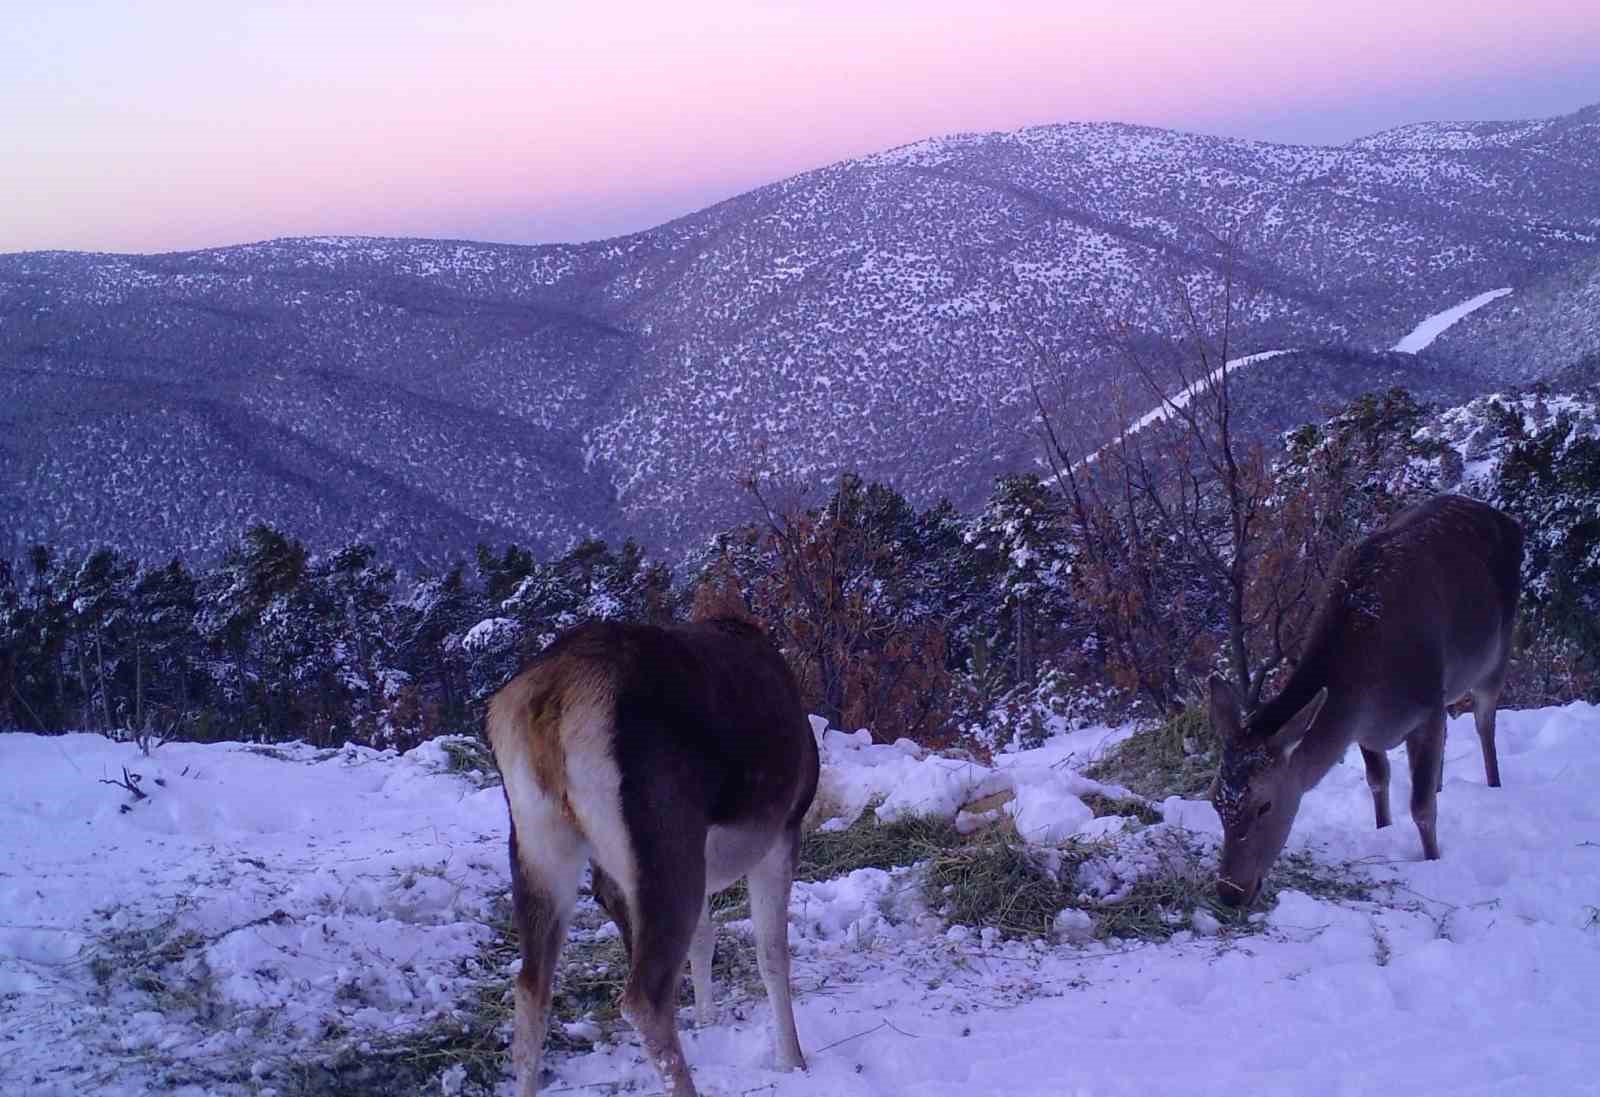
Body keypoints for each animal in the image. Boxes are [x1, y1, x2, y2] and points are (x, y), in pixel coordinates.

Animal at [483, 620, 812, 1097]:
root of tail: (551, 702)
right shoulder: (784, 827)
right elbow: (772, 954)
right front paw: (793, 1061)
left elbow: (704, 939)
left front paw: (707, 1021)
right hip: (665, 843)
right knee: (643, 998)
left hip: (538, 846)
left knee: (530, 990)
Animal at [1209, 498, 1523, 908]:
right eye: (1214, 801)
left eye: (1265, 805)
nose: (1230, 892)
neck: (1367, 691)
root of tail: (1508, 520)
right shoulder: (1367, 732)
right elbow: (1378, 781)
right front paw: (1383, 829)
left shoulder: (1427, 706)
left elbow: (1421, 808)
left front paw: (1433, 859)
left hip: (1497, 651)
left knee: (1484, 721)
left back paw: (1494, 784)